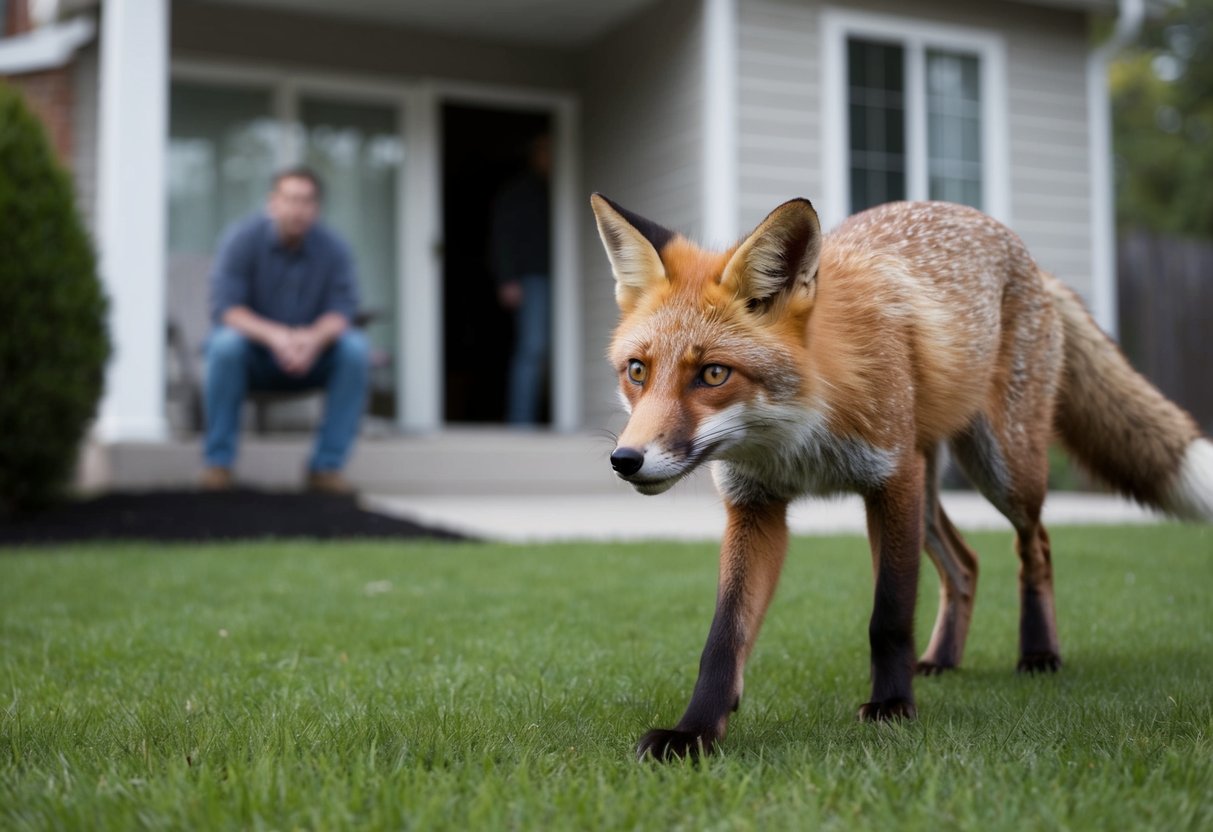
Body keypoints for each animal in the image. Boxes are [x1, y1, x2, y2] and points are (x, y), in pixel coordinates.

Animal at [590, 193, 1213, 762]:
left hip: (1001, 468)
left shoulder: (889, 482)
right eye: (637, 371)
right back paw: (941, 659)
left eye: (714, 374)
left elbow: (888, 615)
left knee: (1035, 545)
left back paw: (1037, 653)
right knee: (966, 563)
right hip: (930, 493)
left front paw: (892, 706)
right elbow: (724, 637)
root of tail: (1029, 259)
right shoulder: (756, 505)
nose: (626, 460)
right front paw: (696, 729)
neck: (797, 441)